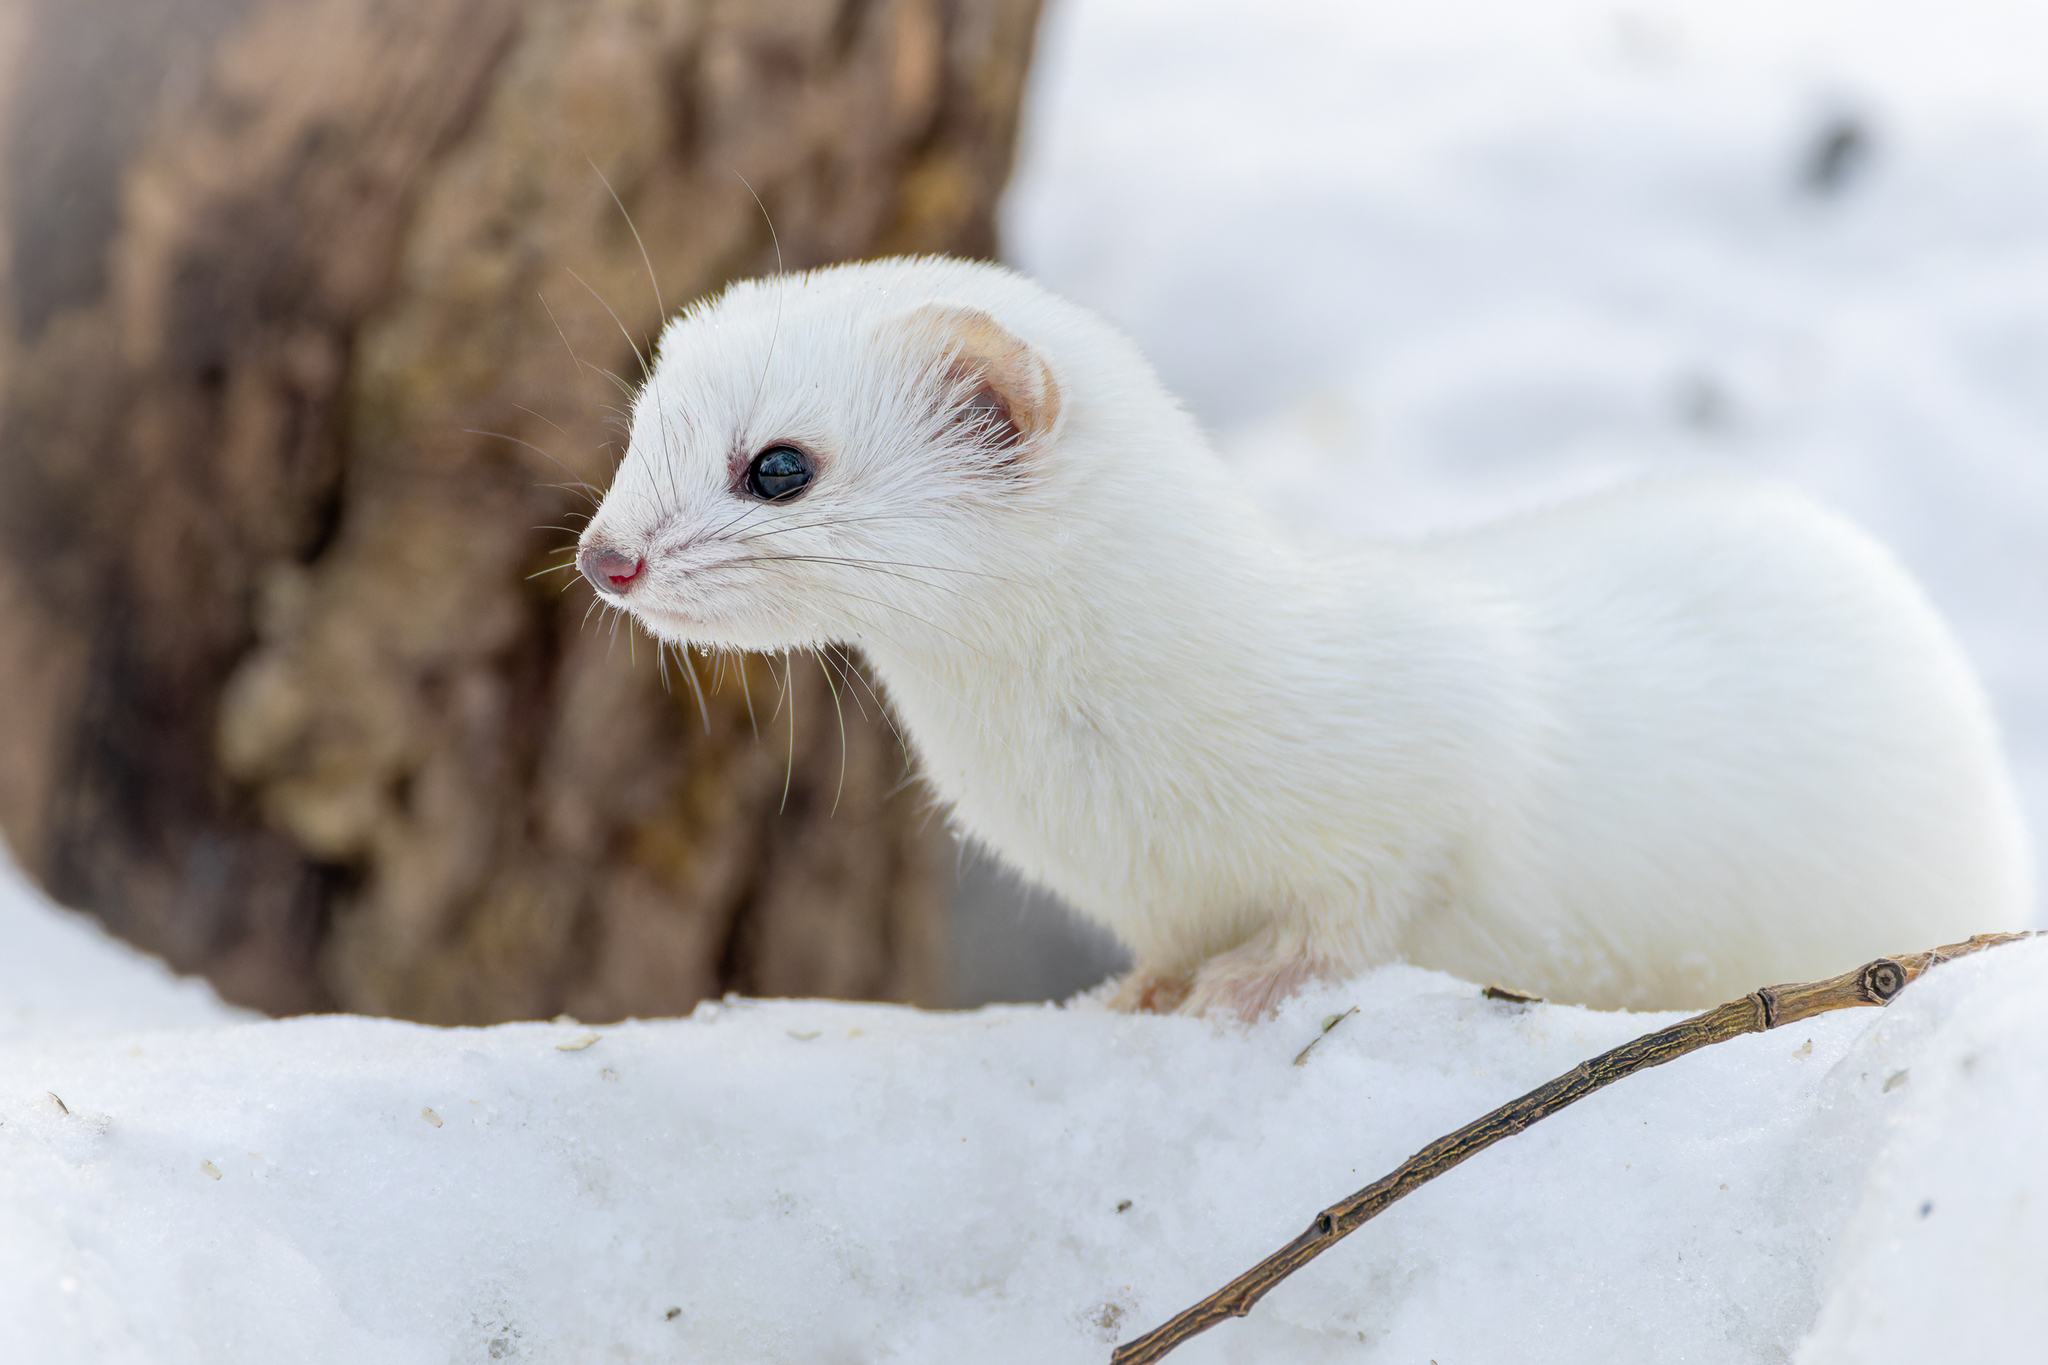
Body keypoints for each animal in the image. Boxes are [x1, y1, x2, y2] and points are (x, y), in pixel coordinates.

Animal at [573, 261, 2031, 1019]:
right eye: (637, 427)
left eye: (777, 466)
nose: (603, 556)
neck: (1107, 791)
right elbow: (1161, 951)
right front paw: (1138, 995)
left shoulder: (1444, 752)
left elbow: (1372, 899)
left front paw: (1253, 978)